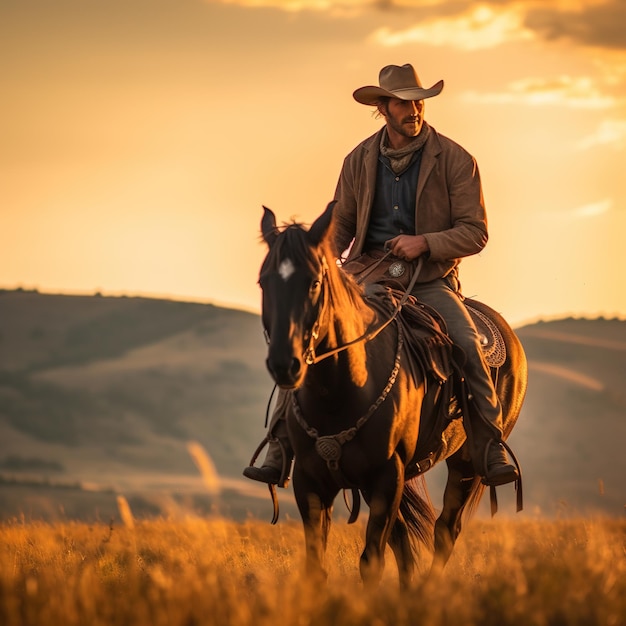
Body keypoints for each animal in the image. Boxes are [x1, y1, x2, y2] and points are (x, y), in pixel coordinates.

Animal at [256, 201, 524, 584]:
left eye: (314, 282)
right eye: (264, 282)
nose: (284, 364)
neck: (340, 389)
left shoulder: (386, 475)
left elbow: (372, 560)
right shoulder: (310, 480)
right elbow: (318, 565)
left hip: (467, 463)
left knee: (446, 529)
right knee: (405, 541)